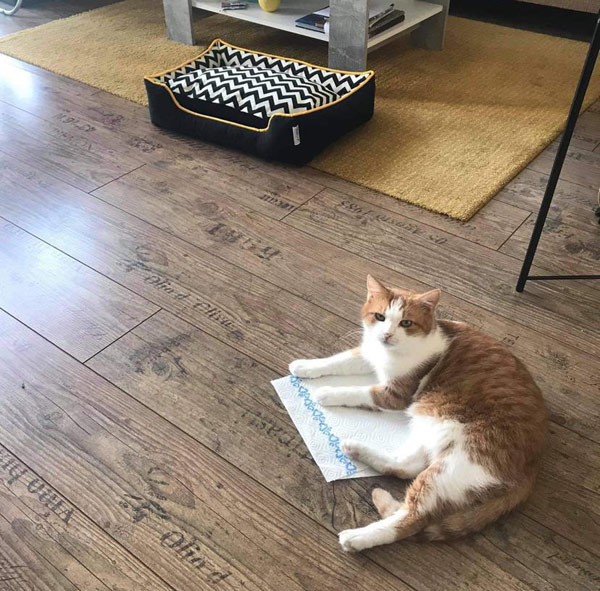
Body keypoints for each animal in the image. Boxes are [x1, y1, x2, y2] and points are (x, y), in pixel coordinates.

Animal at [288, 276, 548, 552]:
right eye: (380, 317)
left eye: (406, 323)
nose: (387, 335)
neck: (388, 354)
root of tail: (531, 469)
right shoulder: (368, 354)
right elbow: (339, 360)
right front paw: (304, 366)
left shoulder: (395, 394)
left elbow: (358, 391)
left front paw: (326, 393)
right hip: (431, 429)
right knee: (405, 467)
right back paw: (355, 449)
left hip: (455, 463)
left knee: (413, 517)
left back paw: (356, 538)